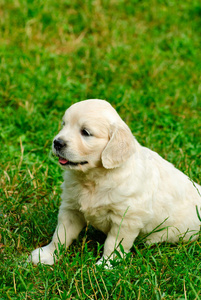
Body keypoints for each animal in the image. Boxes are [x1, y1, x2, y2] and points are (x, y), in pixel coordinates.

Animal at [29, 99, 200, 264]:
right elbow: (60, 235)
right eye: (64, 124)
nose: (57, 142)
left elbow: (114, 244)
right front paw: (47, 255)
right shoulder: (71, 207)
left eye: (85, 132)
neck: (94, 178)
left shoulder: (126, 218)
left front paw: (107, 264)